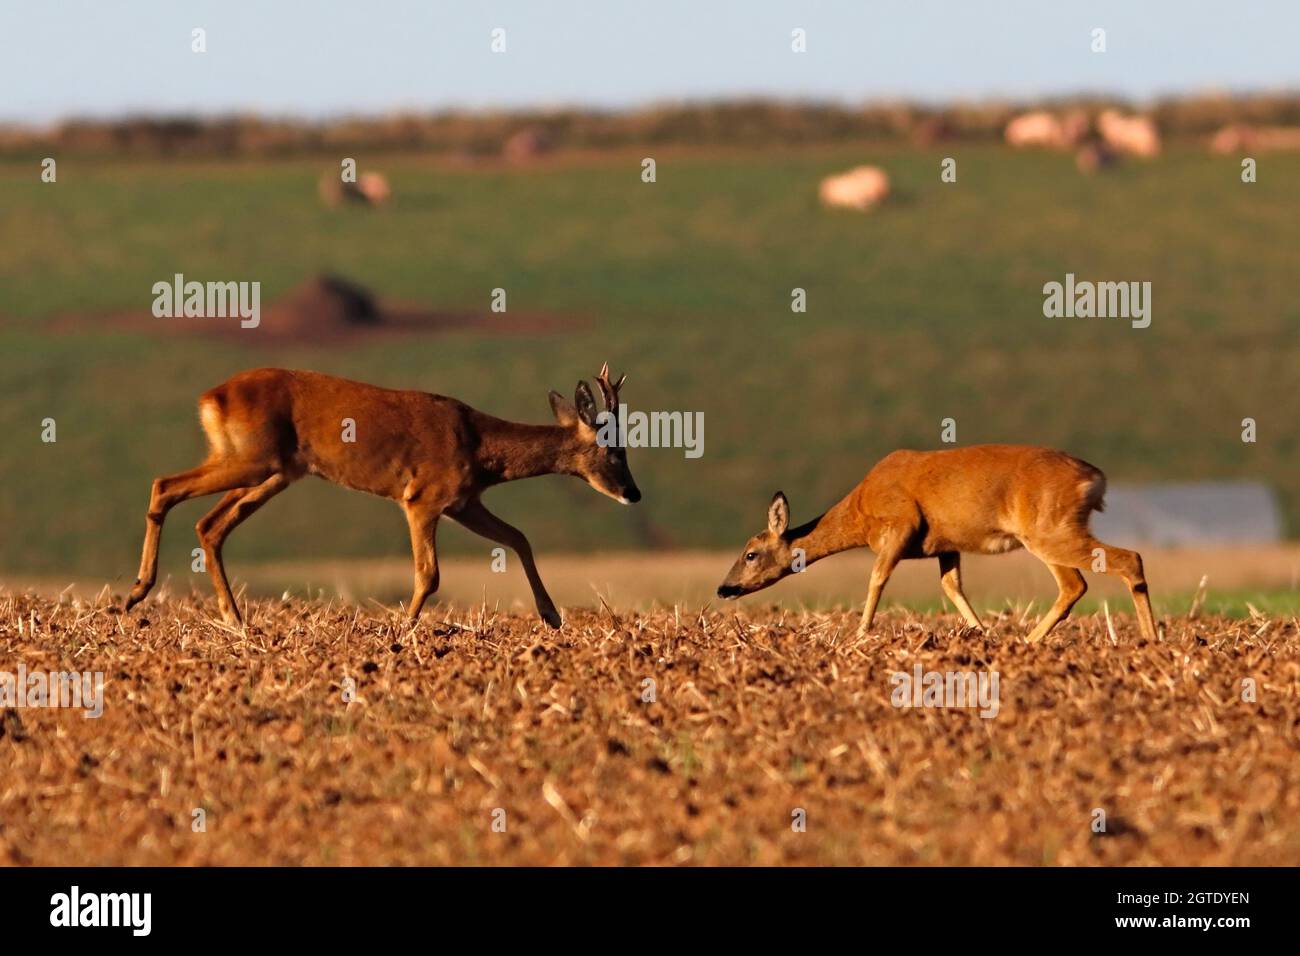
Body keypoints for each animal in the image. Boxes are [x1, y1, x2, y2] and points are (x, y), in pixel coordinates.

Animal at [122, 364, 638, 629]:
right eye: (614, 451)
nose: (633, 493)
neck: (477, 443)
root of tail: (211, 398)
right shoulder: (423, 497)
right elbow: (430, 574)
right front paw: (400, 630)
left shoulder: (464, 502)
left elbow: (519, 538)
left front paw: (551, 616)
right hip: (252, 460)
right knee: (165, 486)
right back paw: (137, 593)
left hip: (272, 472)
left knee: (209, 525)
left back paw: (233, 619)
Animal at [716, 444, 1157, 644]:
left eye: (751, 553)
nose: (724, 588)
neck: (860, 508)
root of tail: (1094, 478)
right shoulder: (946, 545)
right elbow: (951, 587)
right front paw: (981, 632)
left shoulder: (901, 524)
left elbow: (877, 578)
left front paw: (860, 634)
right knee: (1094, 576)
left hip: (1049, 531)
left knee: (1107, 568)